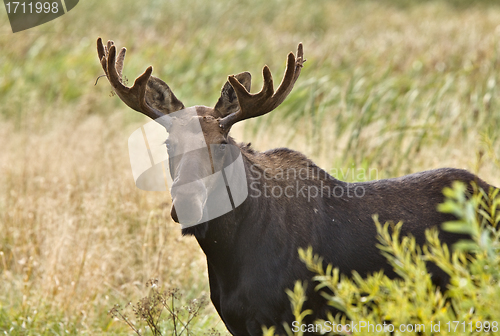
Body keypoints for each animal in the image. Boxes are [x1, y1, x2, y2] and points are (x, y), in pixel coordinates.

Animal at [96, 38, 496, 336]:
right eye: (168, 145)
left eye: (222, 143)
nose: (188, 202)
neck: (225, 253)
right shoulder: (237, 321)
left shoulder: (287, 316)